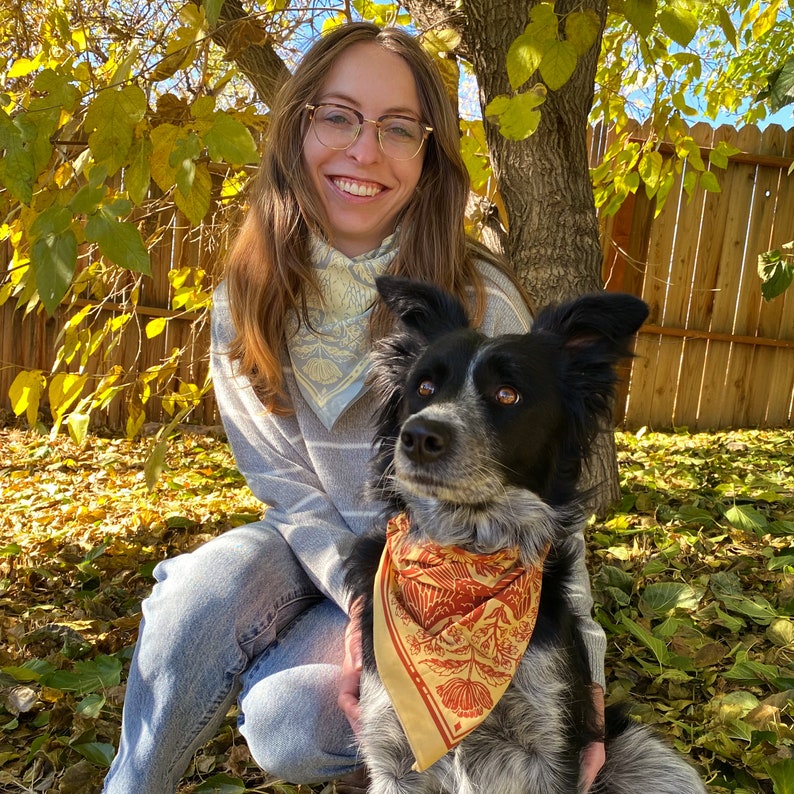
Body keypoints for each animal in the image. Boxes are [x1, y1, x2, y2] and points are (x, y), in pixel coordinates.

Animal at [344, 276, 704, 792]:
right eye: (424, 387)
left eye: (507, 395)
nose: (418, 437)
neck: (465, 558)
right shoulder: (392, 753)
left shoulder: (550, 752)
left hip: (651, 761)